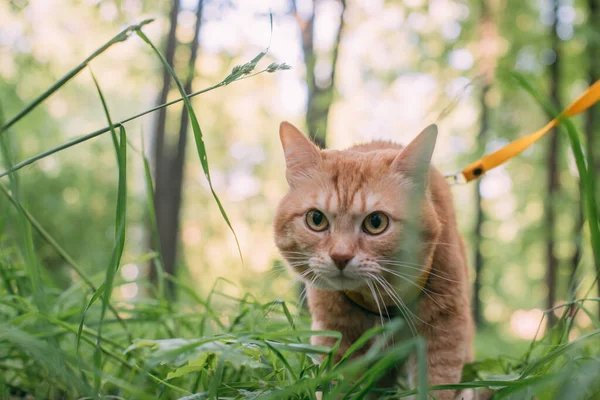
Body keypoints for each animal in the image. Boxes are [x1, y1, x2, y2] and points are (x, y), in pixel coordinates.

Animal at [274, 122, 476, 400]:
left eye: (376, 222)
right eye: (316, 219)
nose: (340, 256)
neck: (379, 300)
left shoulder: (444, 333)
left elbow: (436, 387)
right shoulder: (334, 335)